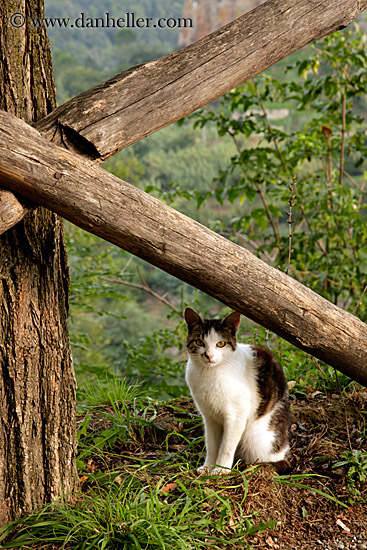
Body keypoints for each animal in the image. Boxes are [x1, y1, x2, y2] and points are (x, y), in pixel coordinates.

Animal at [185, 308, 292, 476]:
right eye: (199, 342)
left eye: (221, 344)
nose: (209, 355)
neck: (209, 373)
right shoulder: (209, 416)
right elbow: (212, 444)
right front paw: (208, 467)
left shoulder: (236, 415)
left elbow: (226, 446)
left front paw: (221, 470)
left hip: (255, 439)